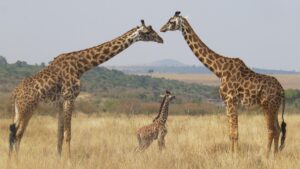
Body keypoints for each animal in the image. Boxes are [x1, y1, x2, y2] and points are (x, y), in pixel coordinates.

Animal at [8, 19, 164, 158]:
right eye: (148, 31)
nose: (161, 39)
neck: (81, 66)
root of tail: (15, 93)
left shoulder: (60, 102)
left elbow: (59, 134)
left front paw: (59, 159)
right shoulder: (70, 98)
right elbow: (68, 134)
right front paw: (69, 160)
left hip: (18, 109)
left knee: (13, 132)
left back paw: (12, 160)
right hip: (27, 108)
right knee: (18, 134)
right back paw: (17, 160)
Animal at [161, 10, 288, 156]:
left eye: (171, 21)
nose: (162, 28)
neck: (219, 71)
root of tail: (282, 90)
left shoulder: (231, 101)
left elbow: (235, 133)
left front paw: (235, 156)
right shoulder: (226, 103)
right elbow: (230, 133)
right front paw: (231, 154)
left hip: (268, 106)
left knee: (271, 129)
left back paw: (266, 155)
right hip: (274, 107)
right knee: (278, 129)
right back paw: (275, 155)